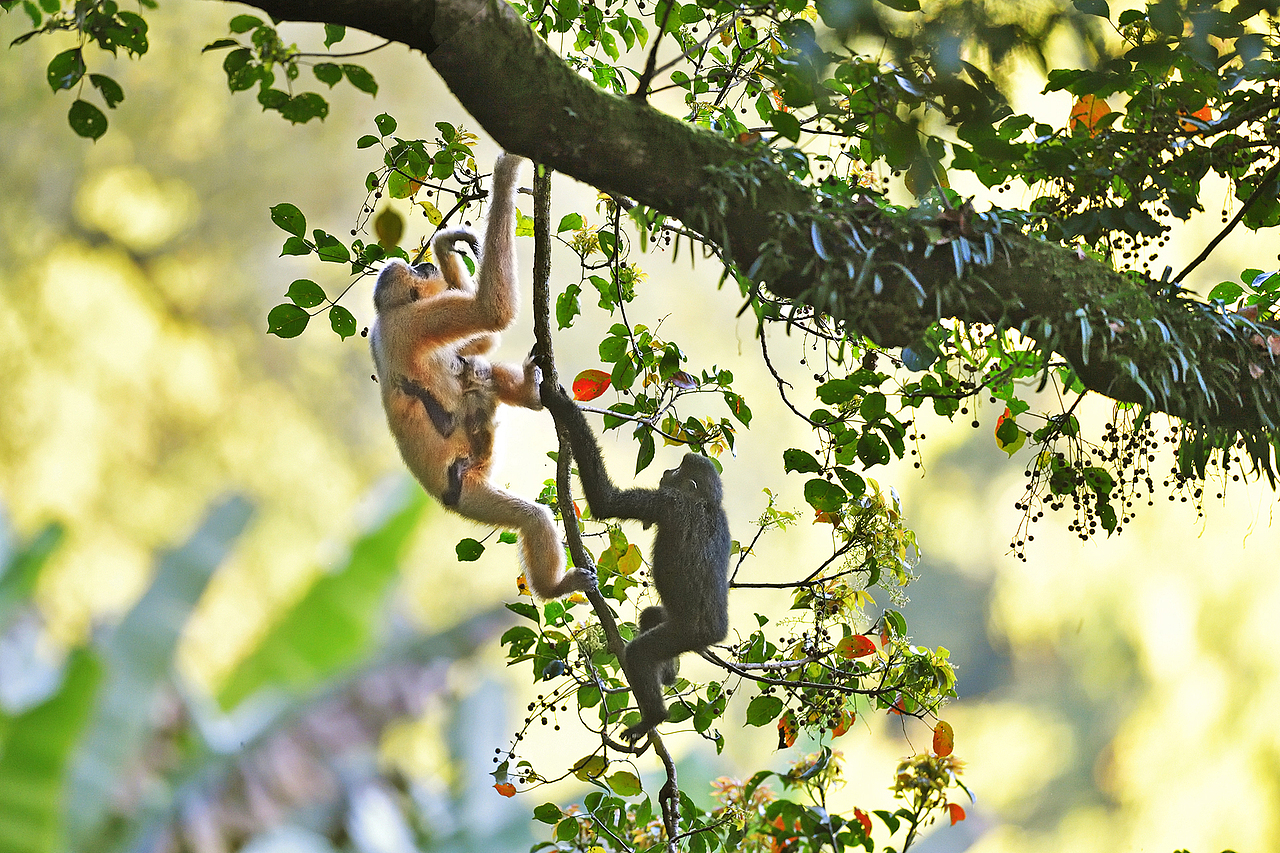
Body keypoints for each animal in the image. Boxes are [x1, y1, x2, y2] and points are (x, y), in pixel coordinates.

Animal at [370, 154, 594, 600]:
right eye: (417, 274)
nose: (425, 265)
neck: (387, 318)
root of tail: (444, 497)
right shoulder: (412, 322)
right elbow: (491, 312)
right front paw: (509, 167)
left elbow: (484, 341)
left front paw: (445, 245)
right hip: (470, 491)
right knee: (532, 517)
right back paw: (554, 587)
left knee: (479, 370)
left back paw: (529, 392)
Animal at [543, 385, 731, 742]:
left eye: (677, 472)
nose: (667, 471)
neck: (705, 504)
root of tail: (718, 630)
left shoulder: (669, 502)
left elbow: (606, 501)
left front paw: (562, 405)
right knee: (652, 616)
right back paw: (668, 675)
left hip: (686, 631)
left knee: (642, 653)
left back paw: (654, 715)